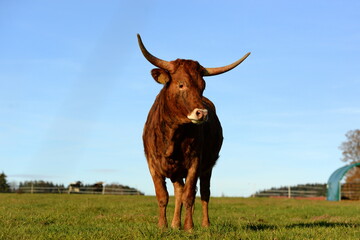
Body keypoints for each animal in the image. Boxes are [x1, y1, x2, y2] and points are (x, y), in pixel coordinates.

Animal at [138, 33, 250, 231]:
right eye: (181, 84)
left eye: (202, 86)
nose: (202, 113)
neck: (173, 136)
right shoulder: (152, 164)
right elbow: (163, 196)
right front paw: (163, 226)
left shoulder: (195, 163)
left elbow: (190, 195)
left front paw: (189, 227)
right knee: (178, 191)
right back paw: (175, 224)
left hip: (208, 166)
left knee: (204, 193)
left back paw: (205, 224)